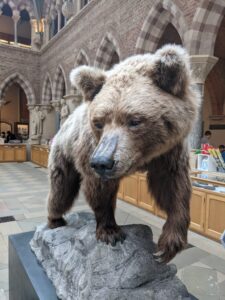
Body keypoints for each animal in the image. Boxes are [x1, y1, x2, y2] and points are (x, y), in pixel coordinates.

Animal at [48, 44, 200, 262]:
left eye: (135, 120)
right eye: (98, 122)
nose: (102, 162)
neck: (145, 155)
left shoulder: (170, 151)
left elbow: (173, 187)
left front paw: (168, 244)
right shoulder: (91, 149)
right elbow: (100, 191)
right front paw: (110, 231)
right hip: (64, 151)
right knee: (61, 189)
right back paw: (55, 220)